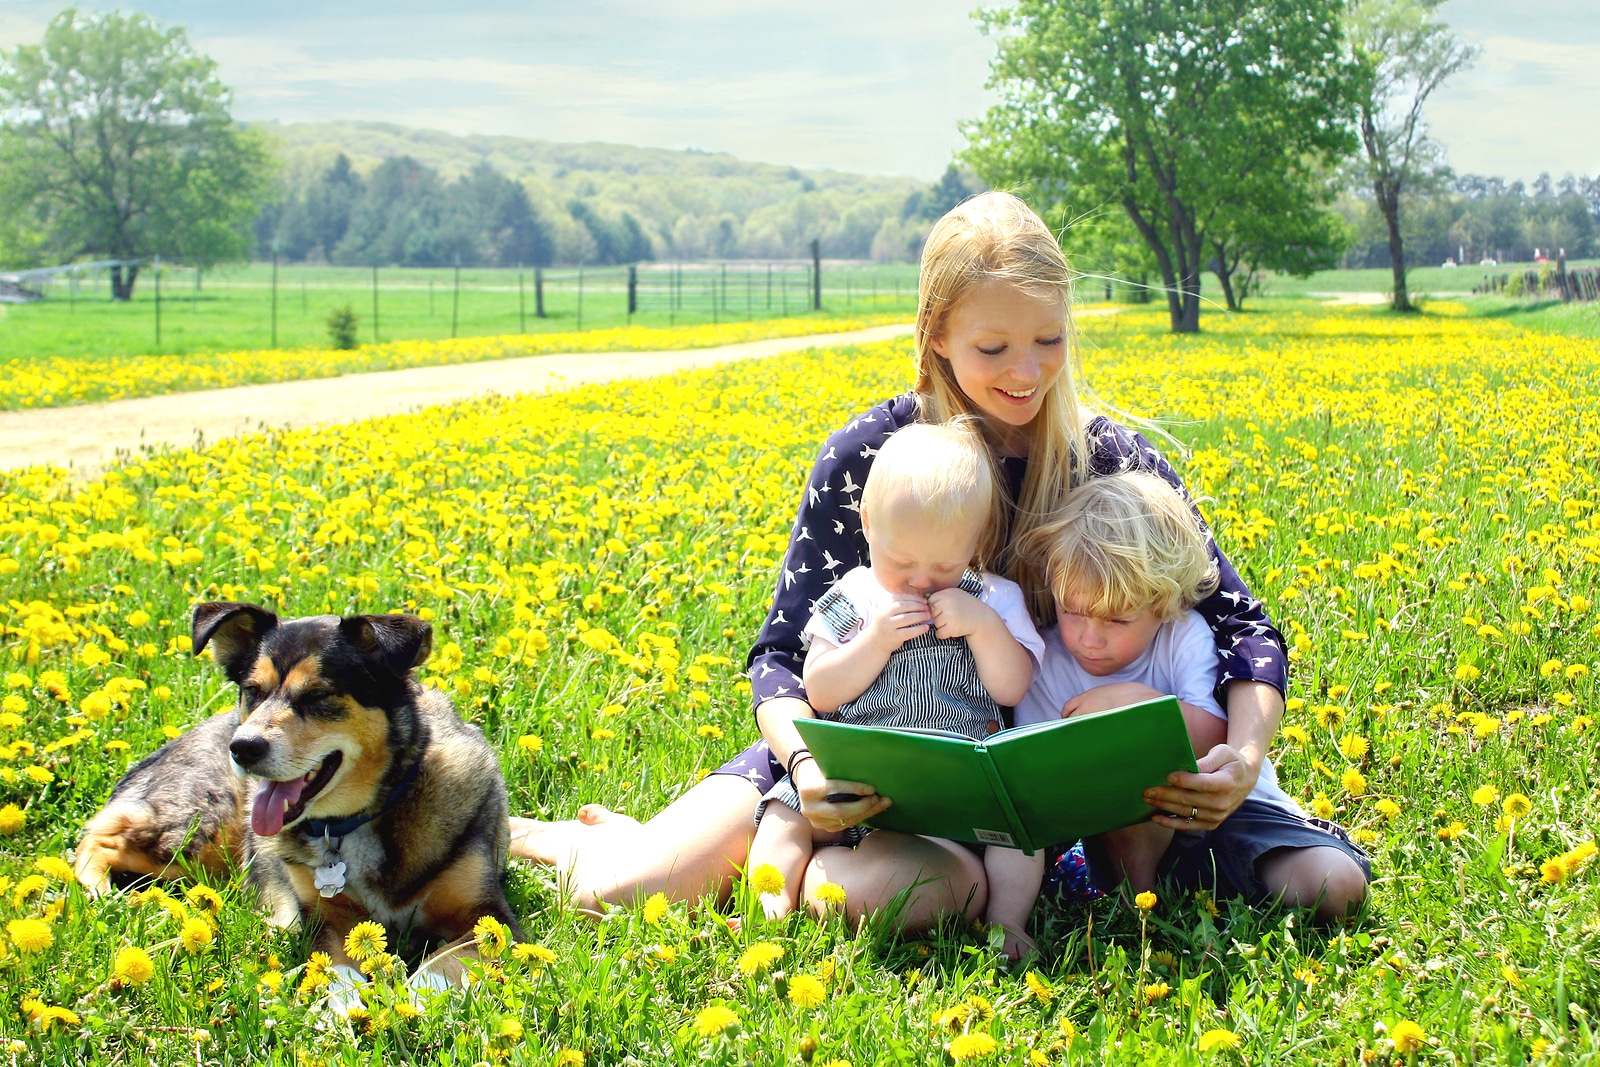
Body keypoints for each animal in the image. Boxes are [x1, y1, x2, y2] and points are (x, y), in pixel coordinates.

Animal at [78, 604, 521, 991]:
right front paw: (343, 1010)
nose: (243, 748)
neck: (356, 821)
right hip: (196, 833)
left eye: (317, 695)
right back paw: (97, 892)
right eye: (253, 690)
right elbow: (337, 973)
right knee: (102, 837)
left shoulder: (487, 917)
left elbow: (440, 966)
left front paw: (411, 1001)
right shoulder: (321, 919)